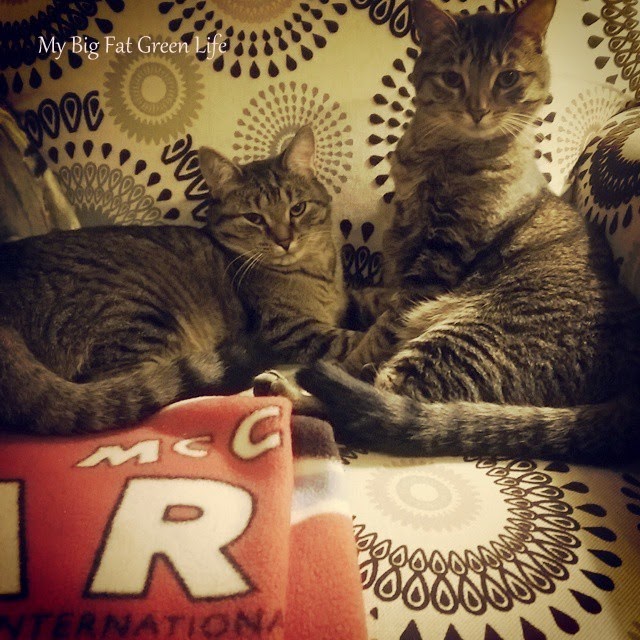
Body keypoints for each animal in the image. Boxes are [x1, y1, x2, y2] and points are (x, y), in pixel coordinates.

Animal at [0, 126, 362, 435]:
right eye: (254, 218)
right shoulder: (289, 328)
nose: (285, 241)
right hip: (137, 316)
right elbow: (351, 340)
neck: (319, 270)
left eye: (297, 209)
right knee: (145, 390)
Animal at [285, 0, 640, 463]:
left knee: (377, 402)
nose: (478, 109)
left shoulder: (436, 262)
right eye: (453, 78)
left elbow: (377, 334)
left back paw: (285, 387)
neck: (441, 155)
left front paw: (341, 358)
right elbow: (372, 302)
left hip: (464, 339)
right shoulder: (403, 249)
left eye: (507, 78)